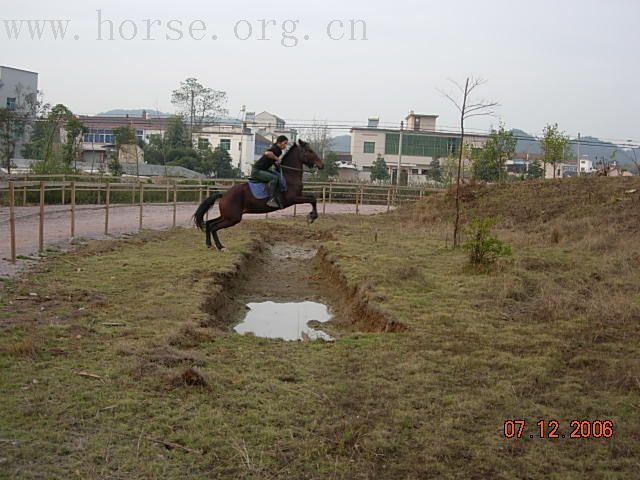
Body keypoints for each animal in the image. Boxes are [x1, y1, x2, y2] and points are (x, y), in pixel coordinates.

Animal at [192, 139, 324, 251]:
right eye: (310, 151)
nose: (321, 165)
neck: (289, 175)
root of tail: (224, 195)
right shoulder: (293, 199)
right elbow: (313, 199)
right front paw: (312, 217)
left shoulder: (299, 195)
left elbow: (312, 197)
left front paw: (312, 216)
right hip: (233, 218)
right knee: (214, 226)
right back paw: (220, 247)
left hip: (228, 216)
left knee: (209, 224)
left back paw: (210, 244)